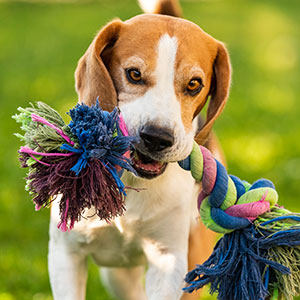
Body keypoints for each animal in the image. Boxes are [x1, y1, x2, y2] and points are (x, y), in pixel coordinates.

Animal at [48, 1, 231, 298]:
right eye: (134, 74)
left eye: (194, 84)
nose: (157, 137)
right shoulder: (65, 253)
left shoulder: (169, 260)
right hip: (116, 277)